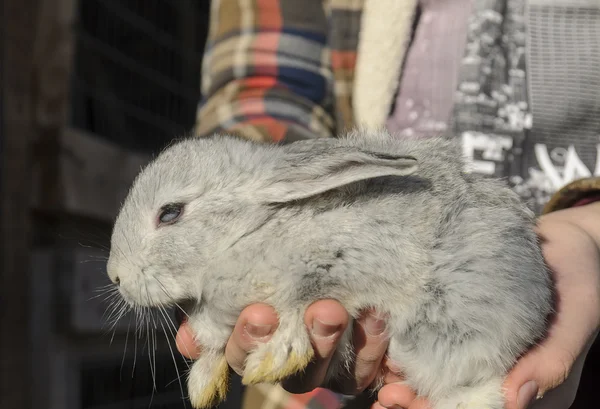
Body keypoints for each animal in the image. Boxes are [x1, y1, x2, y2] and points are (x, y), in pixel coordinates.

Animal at [106, 129, 552, 408]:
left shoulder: (345, 261)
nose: (115, 275)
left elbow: (302, 303)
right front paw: (204, 388)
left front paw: (272, 361)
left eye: (170, 213)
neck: (250, 233)